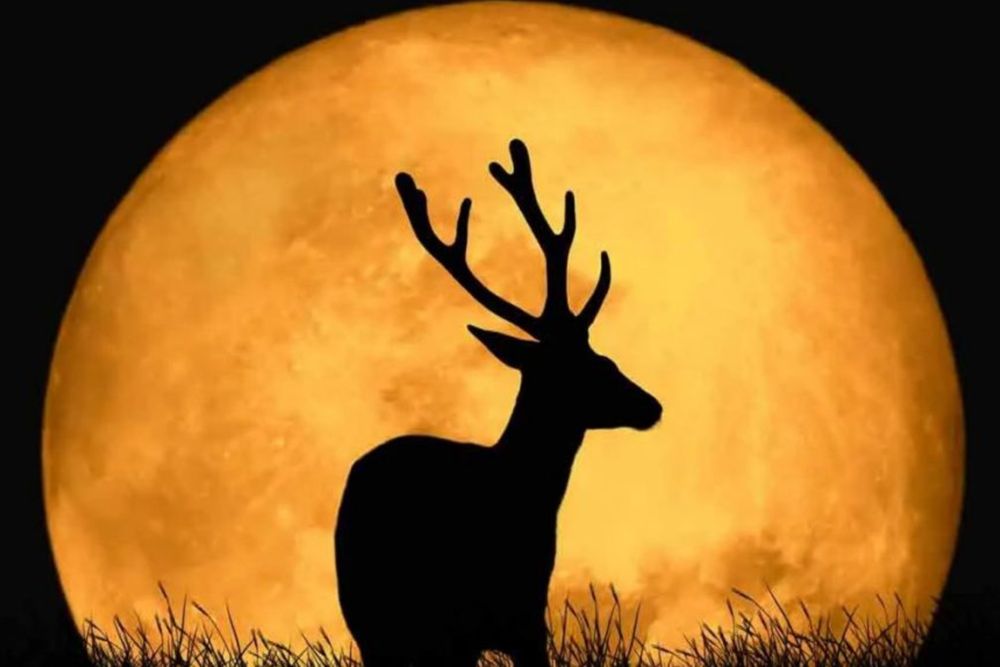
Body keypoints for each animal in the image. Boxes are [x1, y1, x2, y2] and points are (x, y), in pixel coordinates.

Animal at [334, 139, 662, 667]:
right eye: (597, 365)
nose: (651, 405)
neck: (518, 493)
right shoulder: (516, 621)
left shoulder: (511, 622)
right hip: (386, 626)